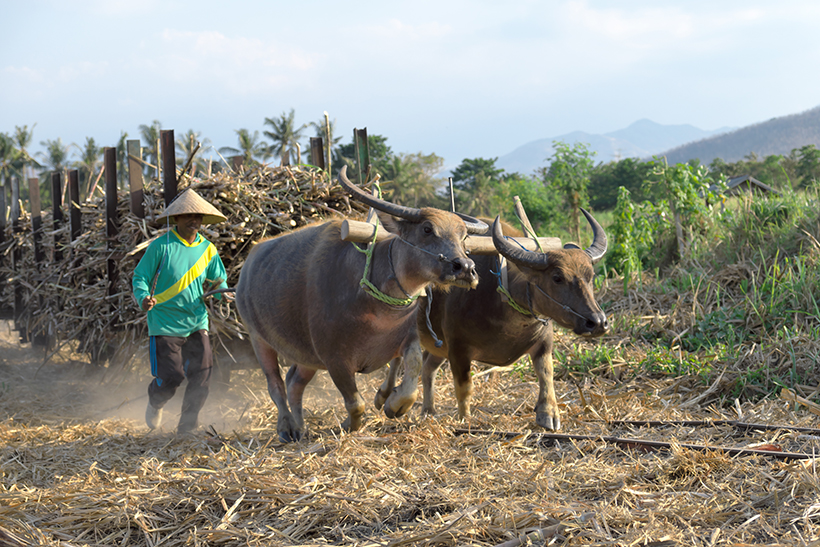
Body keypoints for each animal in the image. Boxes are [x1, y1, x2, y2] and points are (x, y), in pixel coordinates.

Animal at [234, 166, 484, 440]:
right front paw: (349, 425)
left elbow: (412, 374)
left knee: (295, 383)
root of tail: (248, 264)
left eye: (463, 236)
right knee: (275, 384)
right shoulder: (334, 359)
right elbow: (355, 403)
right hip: (258, 338)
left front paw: (394, 404)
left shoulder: (408, 339)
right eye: (427, 229)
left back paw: (300, 427)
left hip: (306, 355)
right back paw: (286, 427)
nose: (466, 268)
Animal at [400, 212, 604, 430]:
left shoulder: (544, 341)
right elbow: (464, 386)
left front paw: (548, 413)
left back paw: (428, 411)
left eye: (590, 276)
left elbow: (546, 373)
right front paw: (465, 419)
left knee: (428, 367)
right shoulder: (457, 348)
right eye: (557, 277)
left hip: (438, 346)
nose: (598, 322)